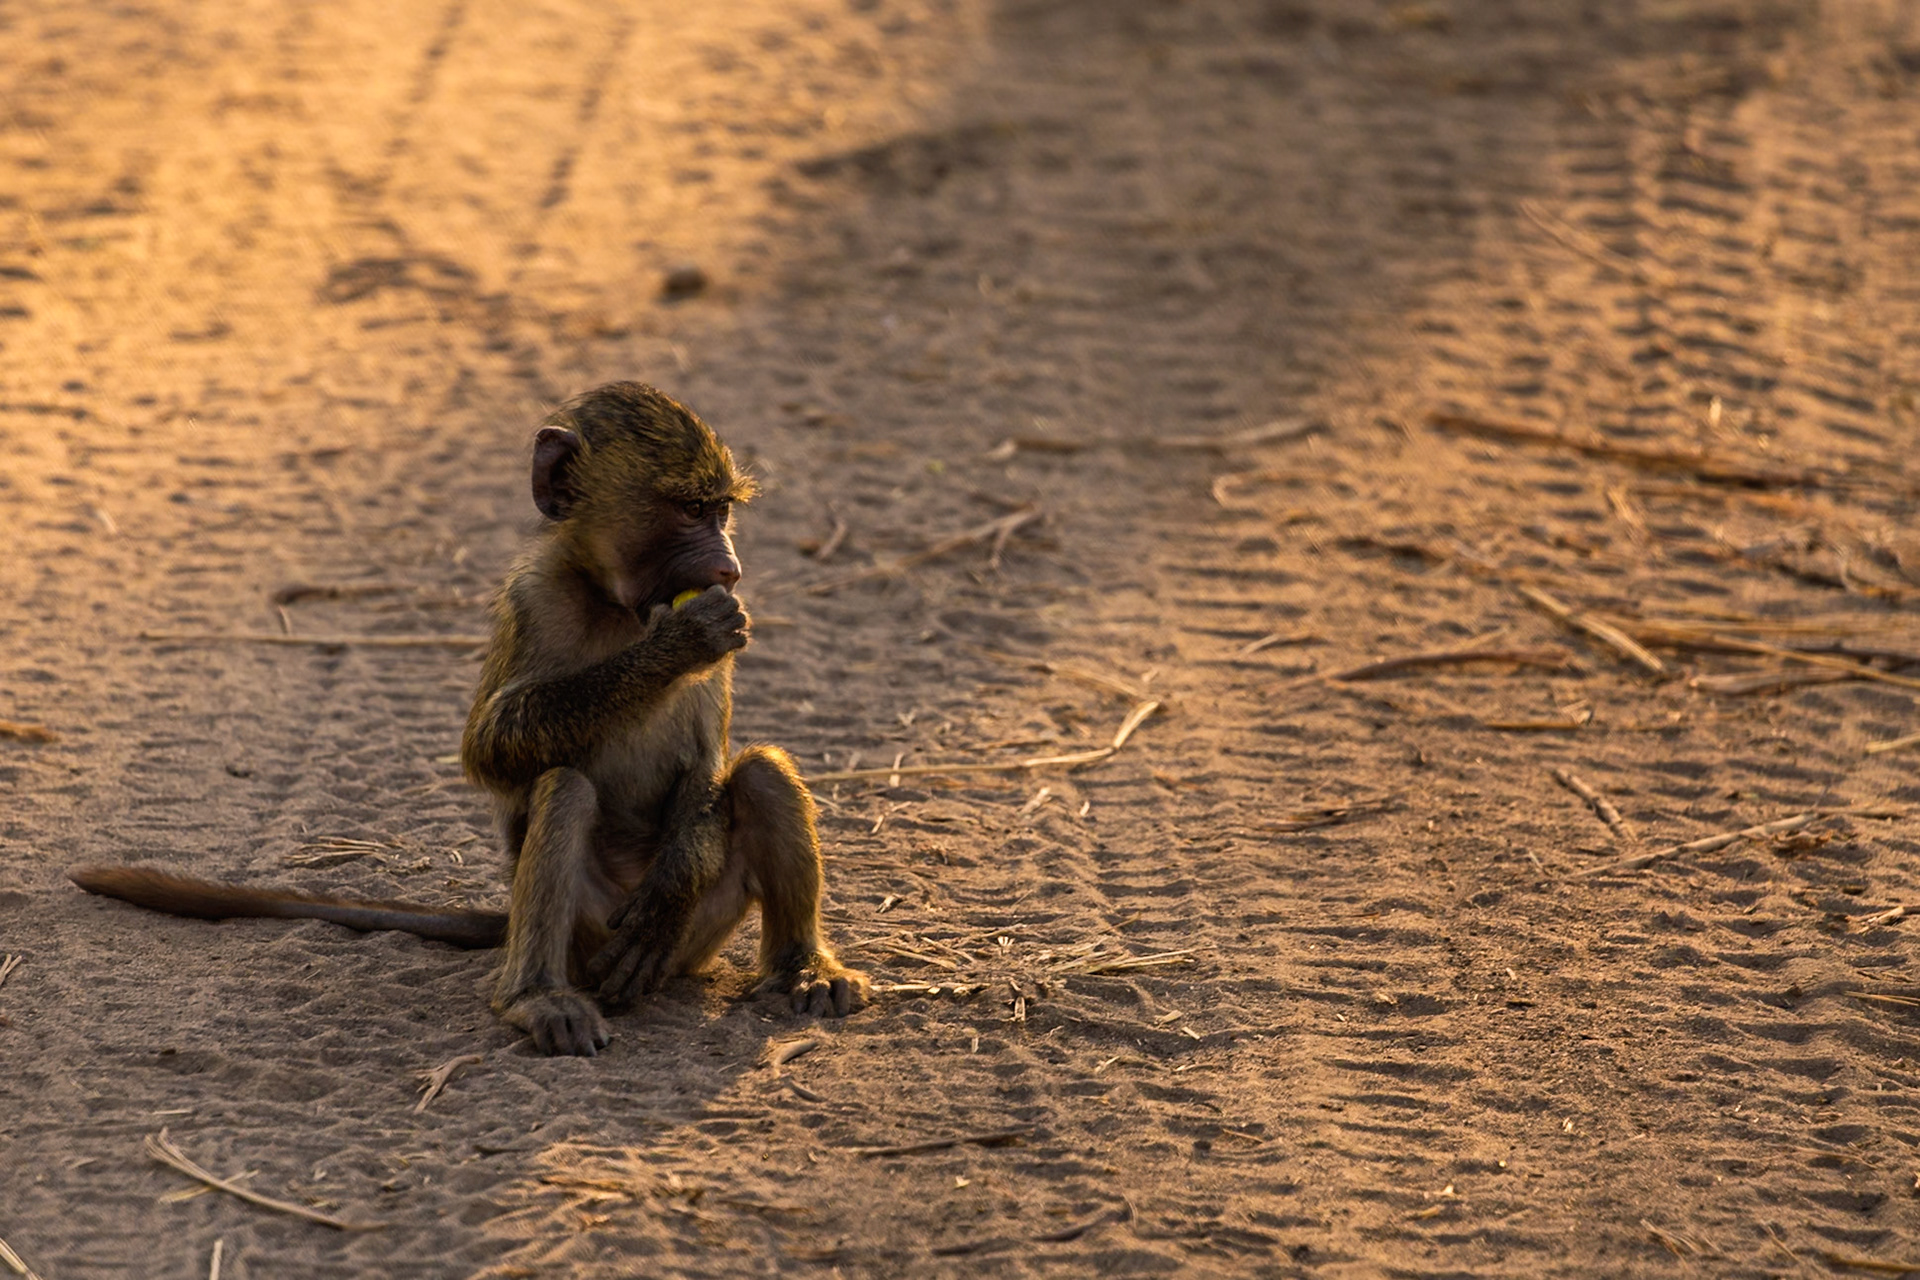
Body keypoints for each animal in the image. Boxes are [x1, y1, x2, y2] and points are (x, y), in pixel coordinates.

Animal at [71, 381, 869, 1055]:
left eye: (720, 509)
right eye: (687, 509)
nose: (729, 569)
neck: (613, 604)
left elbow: (707, 764)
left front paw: (674, 883)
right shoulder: (530, 599)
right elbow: (489, 747)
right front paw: (675, 645)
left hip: (695, 938)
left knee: (761, 773)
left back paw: (803, 969)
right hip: (588, 934)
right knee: (565, 790)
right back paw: (535, 998)